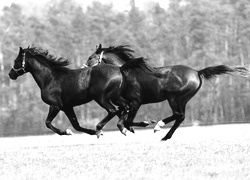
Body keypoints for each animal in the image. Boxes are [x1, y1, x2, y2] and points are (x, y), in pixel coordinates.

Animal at [85, 44, 249, 141]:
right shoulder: (125, 103)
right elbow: (123, 118)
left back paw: (158, 126)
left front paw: (143, 124)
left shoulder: (135, 102)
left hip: (173, 98)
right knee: (181, 117)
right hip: (183, 100)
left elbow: (127, 120)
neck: (126, 73)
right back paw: (165, 136)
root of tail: (197, 72)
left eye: (91, 57)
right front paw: (128, 128)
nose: (84, 68)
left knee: (177, 115)